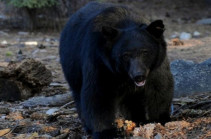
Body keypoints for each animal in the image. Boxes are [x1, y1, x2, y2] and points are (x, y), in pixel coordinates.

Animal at [59, 1, 173, 138]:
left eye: (145, 52)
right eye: (125, 55)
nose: (138, 76)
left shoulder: (156, 66)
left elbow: (160, 88)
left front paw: (160, 119)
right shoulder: (100, 62)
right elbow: (98, 95)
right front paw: (104, 132)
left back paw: (137, 119)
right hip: (72, 67)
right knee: (78, 95)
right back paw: (88, 126)